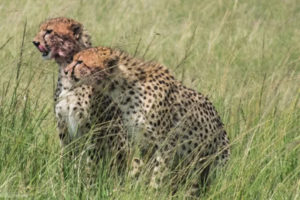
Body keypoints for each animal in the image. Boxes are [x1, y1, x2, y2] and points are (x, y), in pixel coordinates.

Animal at [32, 17, 127, 180]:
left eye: (49, 31)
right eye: (41, 29)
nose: (35, 42)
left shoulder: (91, 127)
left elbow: (90, 159)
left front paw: (86, 181)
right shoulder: (62, 122)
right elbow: (66, 153)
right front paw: (64, 176)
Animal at [65, 46, 230, 195]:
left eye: (80, 62)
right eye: (74, 59)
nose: (66, 71)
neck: (122, 88)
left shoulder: (165, 145)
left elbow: (158, 175)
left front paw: (151, 192)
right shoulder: (142, 144)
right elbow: (143, 170)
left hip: (212, 163)